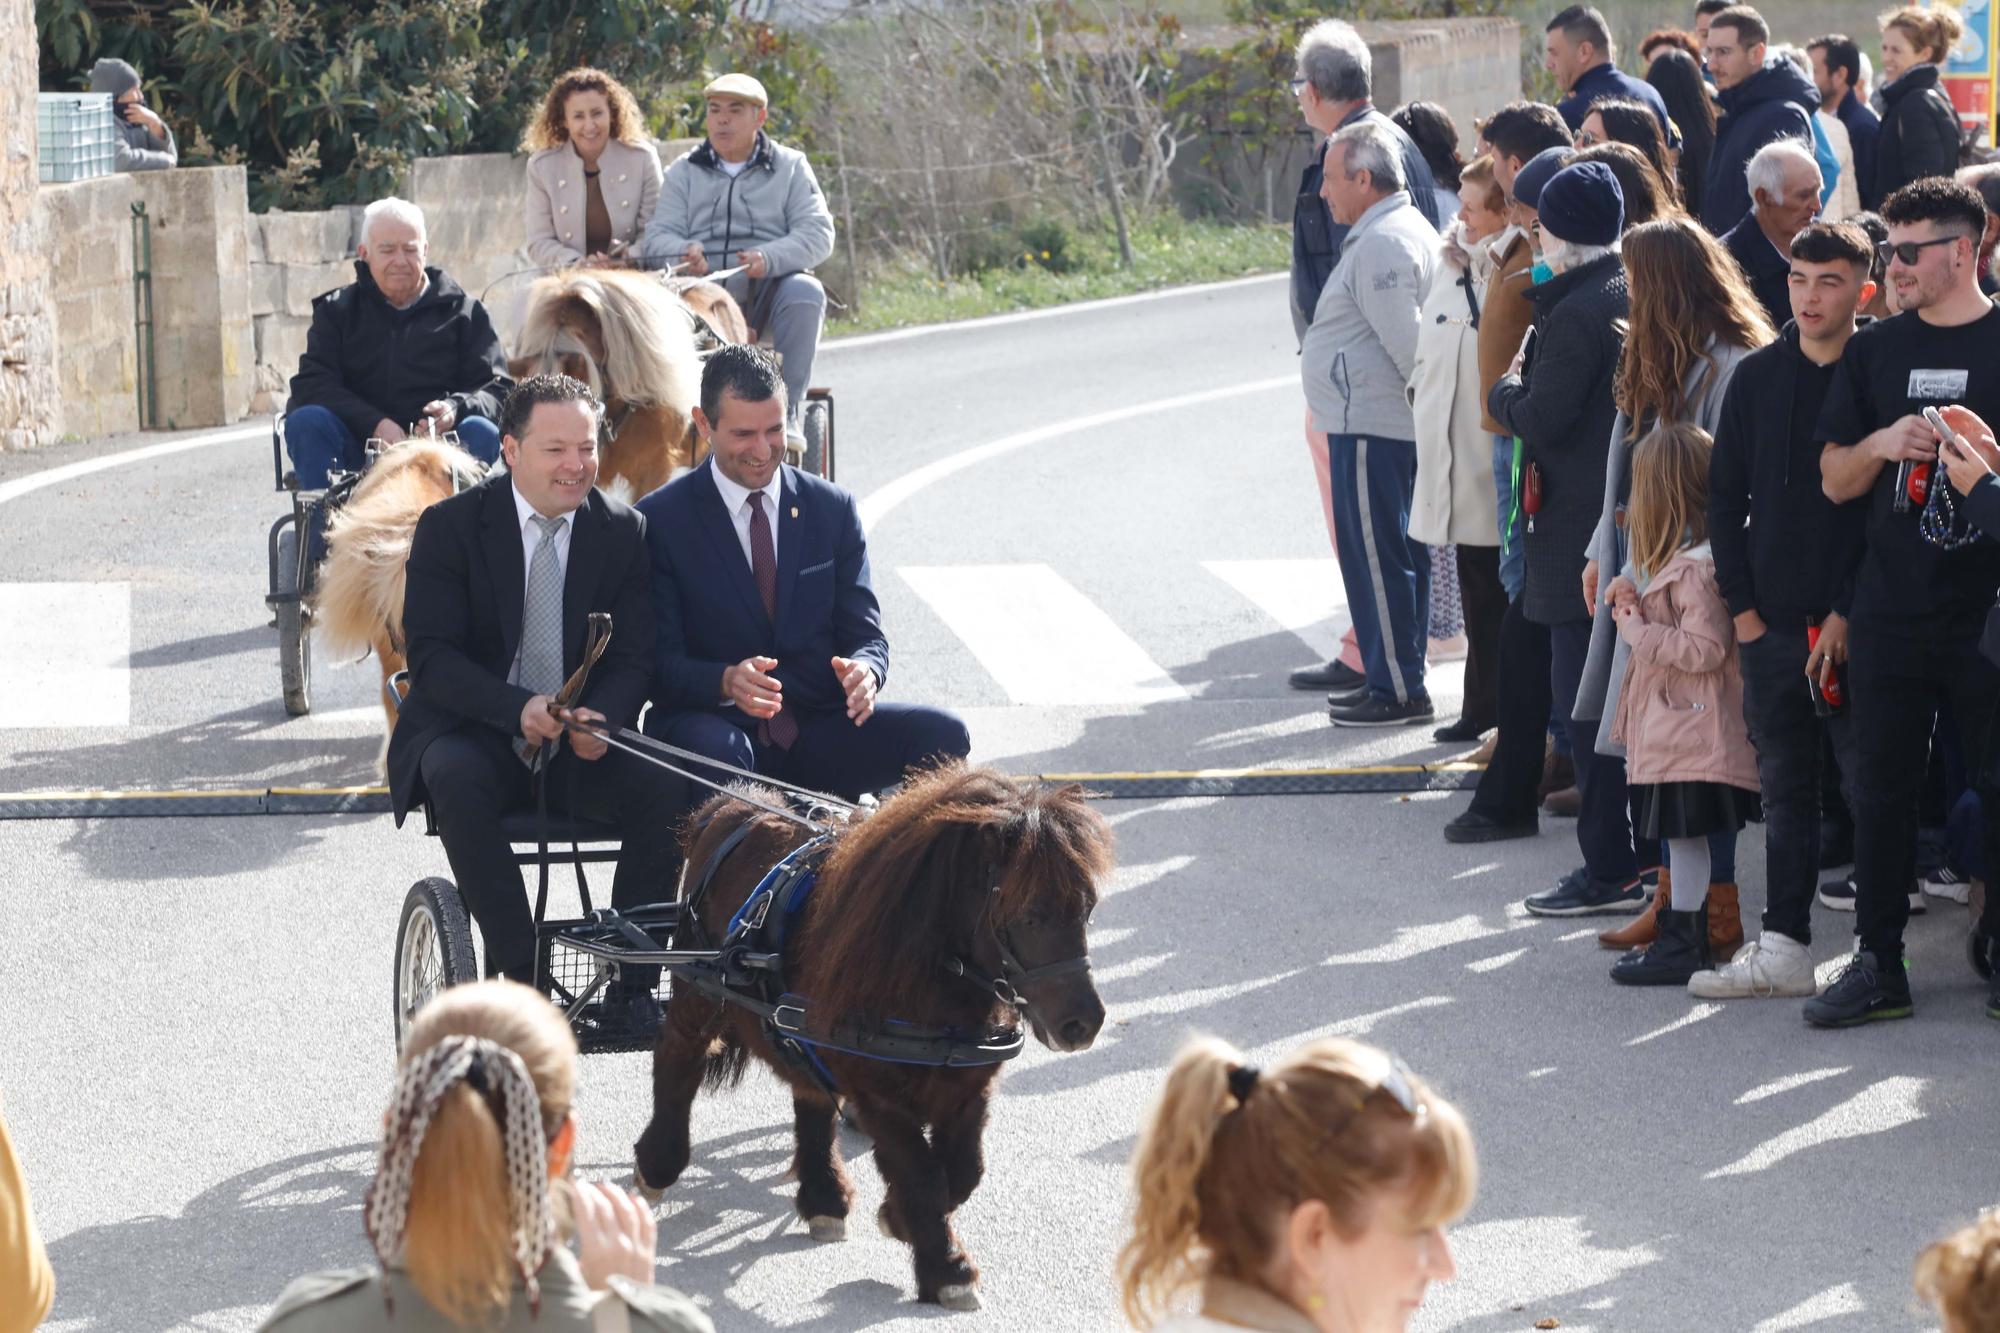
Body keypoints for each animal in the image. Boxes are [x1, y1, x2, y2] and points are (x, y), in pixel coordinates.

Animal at [632, 756, 1112, 1304]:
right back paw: (658, 1163)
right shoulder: (880, 1095)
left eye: (1087, 907)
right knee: (679, 1053)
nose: (1082, 1023)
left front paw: (900, 1220)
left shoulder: (970, 1088)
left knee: (809, 1097)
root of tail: (730, 808)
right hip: (701, 992)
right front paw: (947, 1270)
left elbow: (963, 1173)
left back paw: (823, 1197)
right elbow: (924, 1175)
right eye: (1028, 915)